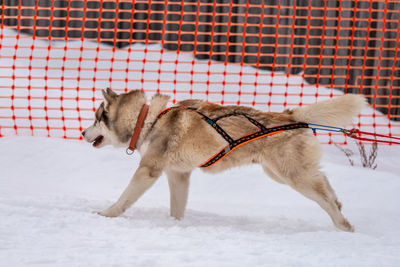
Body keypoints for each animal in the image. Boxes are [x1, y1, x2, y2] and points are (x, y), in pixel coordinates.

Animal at [83, 88, 368, 232]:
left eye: (96, 119)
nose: (83, 133)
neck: (148, 120)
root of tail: (289, 115)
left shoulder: (149, 171)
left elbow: (123, 199)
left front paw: (106, 214)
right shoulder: (178, 175)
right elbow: (177, 208)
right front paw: (176, 225)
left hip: (293, 176)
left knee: (325, 198)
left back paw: (344, 226)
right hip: (282, 173)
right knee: (326, 185)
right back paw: (339, 206)